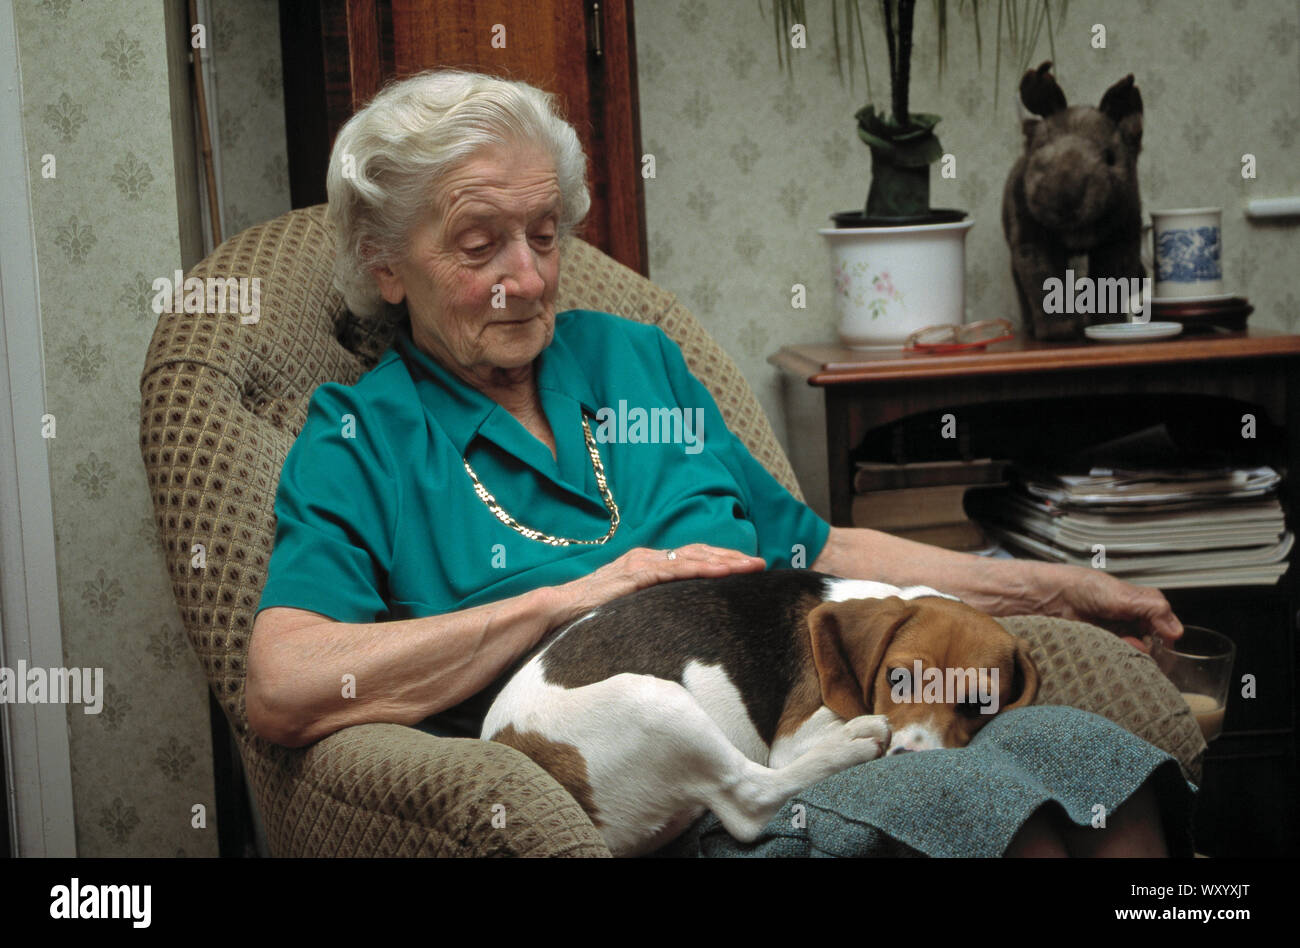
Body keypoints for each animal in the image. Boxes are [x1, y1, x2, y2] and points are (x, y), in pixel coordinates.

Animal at [478, 569, 1034, 858]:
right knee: (750, 799)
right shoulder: (794, 737)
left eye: (977, 704)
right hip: (651, 699)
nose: (910, 756)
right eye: (898, 679)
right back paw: (853, 743)